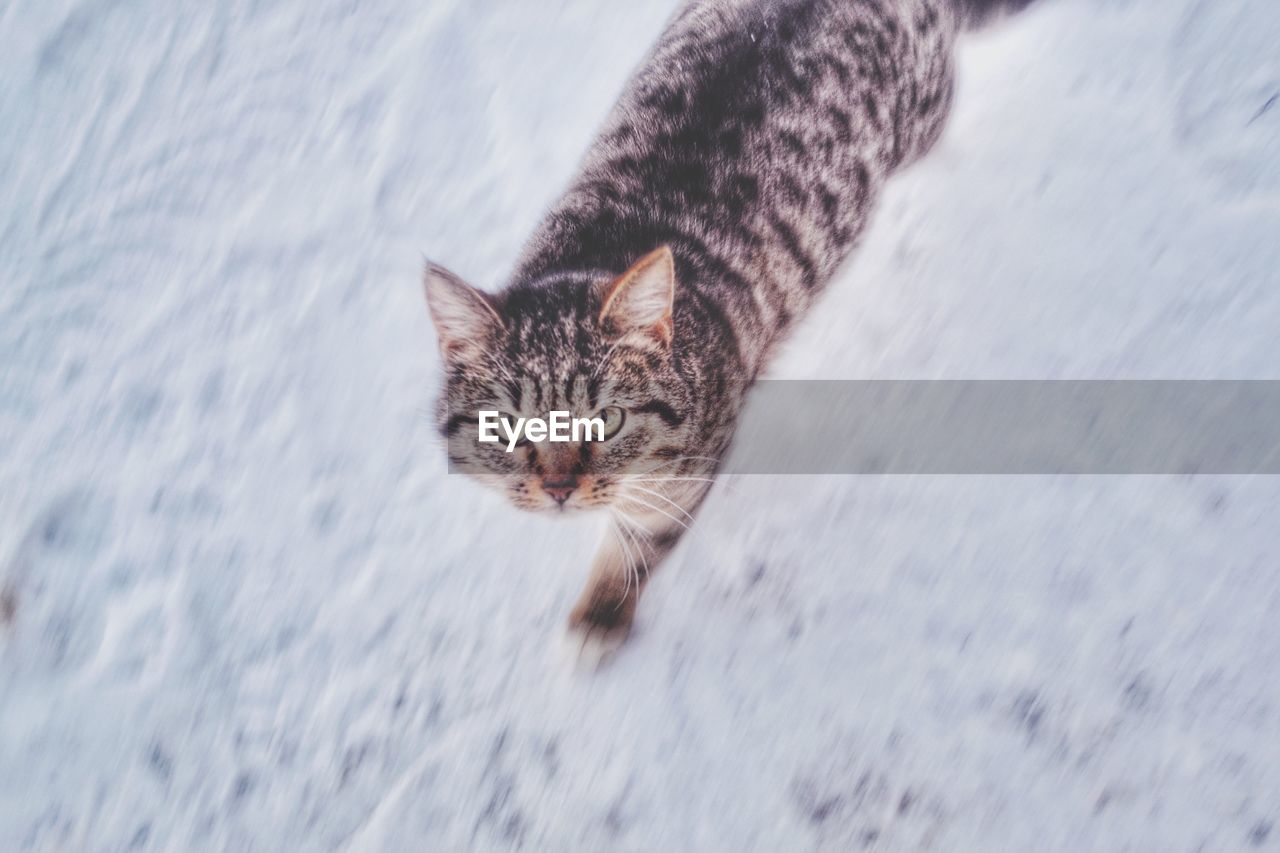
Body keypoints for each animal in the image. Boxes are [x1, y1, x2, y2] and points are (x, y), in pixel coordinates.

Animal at [424, 0, 1034, 666]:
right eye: (508, 425)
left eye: (607, 420)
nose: (559, 487)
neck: (595, 250)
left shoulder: (690, 472)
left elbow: (637, 541)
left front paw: (602, 612)